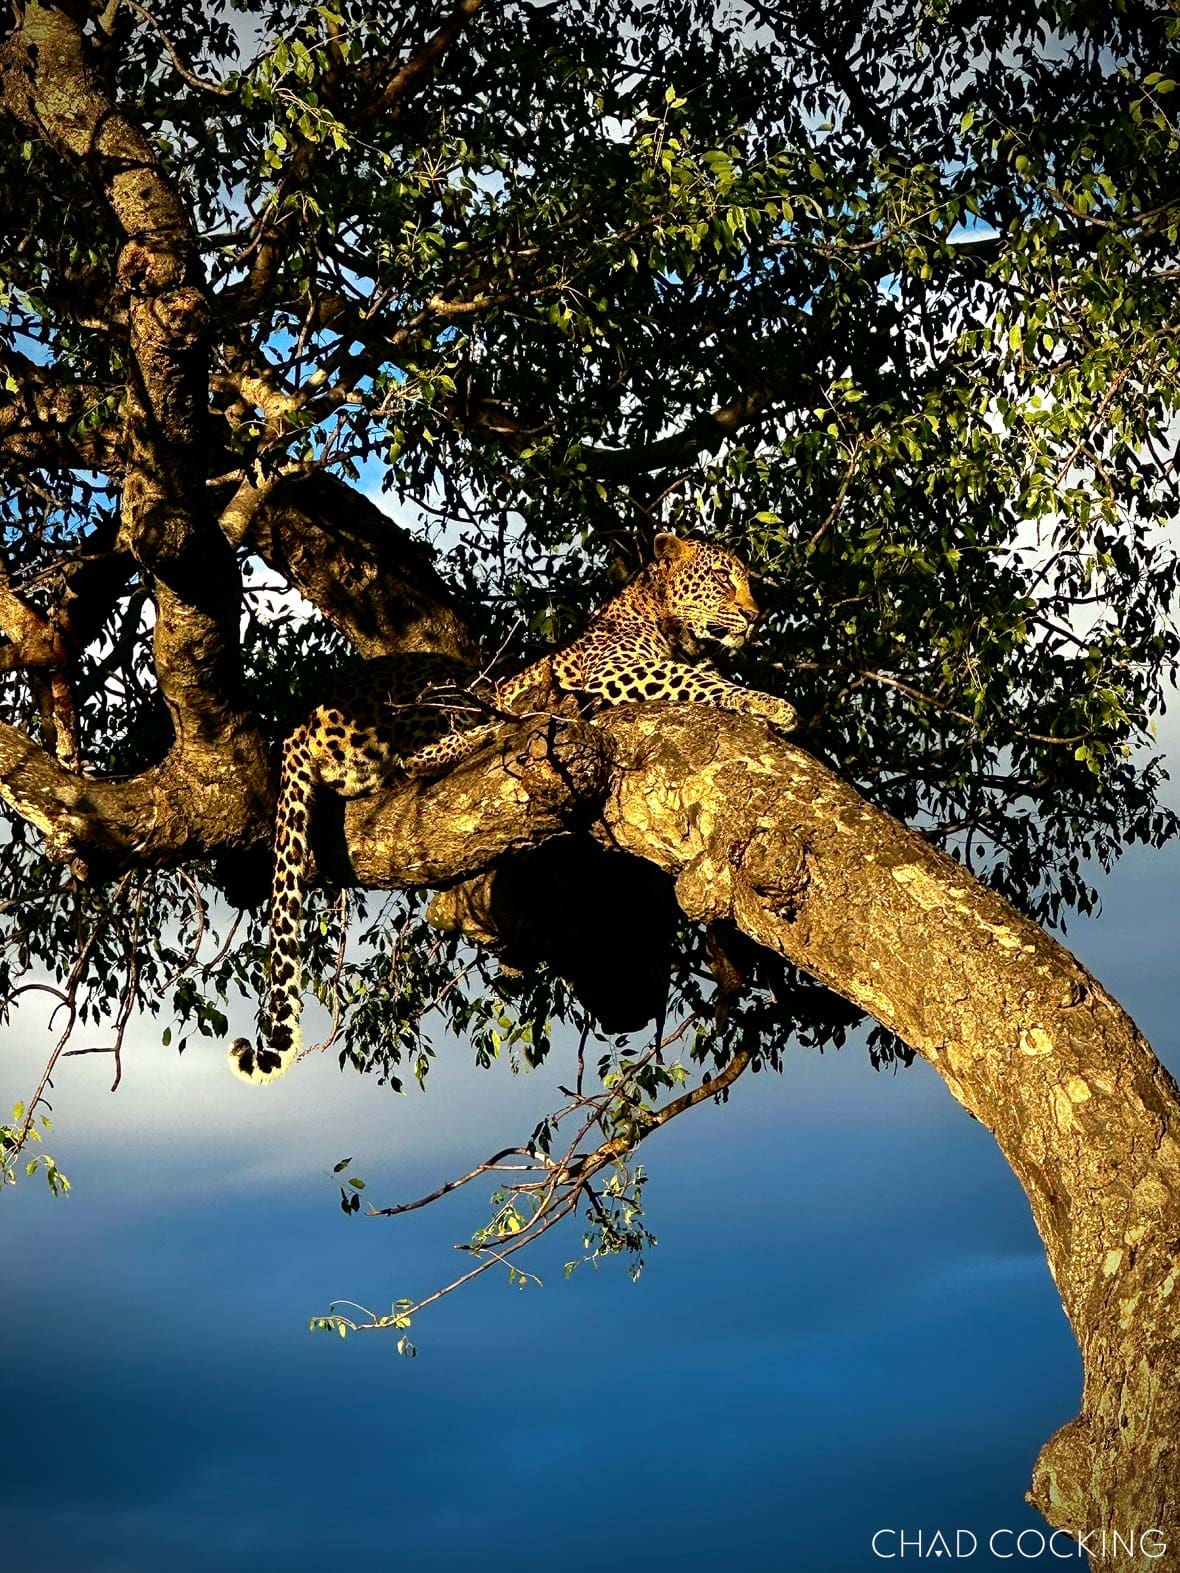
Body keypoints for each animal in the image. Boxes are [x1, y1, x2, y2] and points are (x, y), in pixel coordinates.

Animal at [229, 532, 798, 1085]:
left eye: (748, 580)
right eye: (722, 578)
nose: (755, 615)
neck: (667, 624)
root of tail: (302, 720)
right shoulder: (617, 670)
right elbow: (698, 682)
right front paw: (771, 704)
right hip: (438, 686)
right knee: (425, 753)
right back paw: (511, 718)